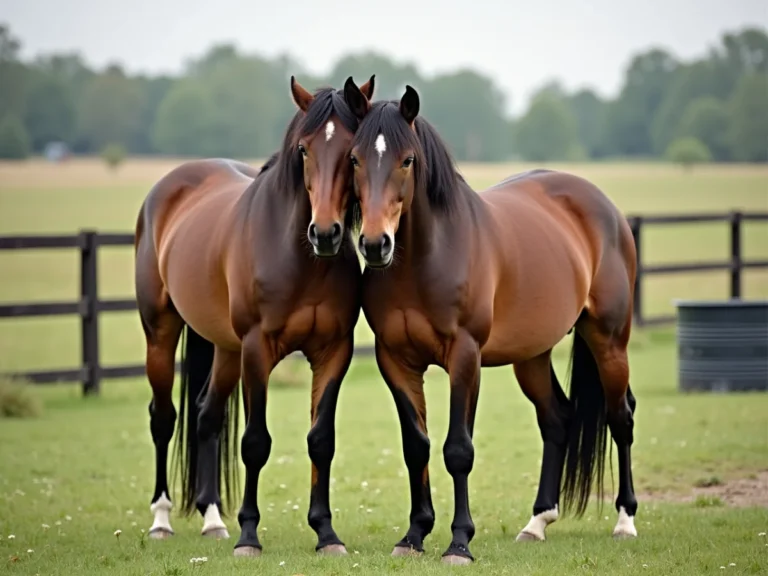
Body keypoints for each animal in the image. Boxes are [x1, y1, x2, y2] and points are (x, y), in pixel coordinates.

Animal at [134, 74, 375, 557]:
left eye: (352, 153)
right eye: (303, 149)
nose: (325, 233)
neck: (298, 258)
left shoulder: (333, 352)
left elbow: (321, 440)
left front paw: (326, 533)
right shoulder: (257, 351)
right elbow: (255, 443)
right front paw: (249, 535)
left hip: (226, 350)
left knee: (206, 417)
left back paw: (211, 519)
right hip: (161, 333)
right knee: (163, 418)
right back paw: (161, 519)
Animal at [342, 82, 638, 564]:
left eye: (407, 160)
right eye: (353, 158)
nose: (374, 244)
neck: (426, 257)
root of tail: (602, 205)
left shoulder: (465, 357)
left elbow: (458, 450)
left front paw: (459, 542)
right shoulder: (396, 360)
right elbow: (416, 446)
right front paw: (413, 535)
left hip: (609, 340)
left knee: (621, 418)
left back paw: (625, 521)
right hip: (532, 355)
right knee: (557, 418)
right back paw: (536, 523)